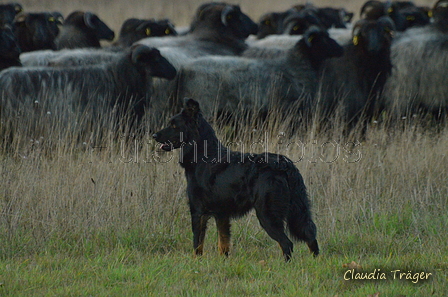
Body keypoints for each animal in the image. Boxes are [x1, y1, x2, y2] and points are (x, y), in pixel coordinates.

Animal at [150, 25, 344, 122]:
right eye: (324, 39)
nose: (340, 48)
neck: (295, 64)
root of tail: (183, 70)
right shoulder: (289, 110)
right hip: (206, 105)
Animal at [153, 98, 318, 260]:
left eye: (174, 125)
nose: (154, 136)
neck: (203, 156)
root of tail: (284, 164)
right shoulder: (221, 214)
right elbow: (223, 243)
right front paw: (223, 262)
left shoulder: (198, 211)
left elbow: (197, 244)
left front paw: (196, 262)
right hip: (297, 210)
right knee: (310, 234)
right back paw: (315, 261)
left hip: (267, 214)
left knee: (287, 243)